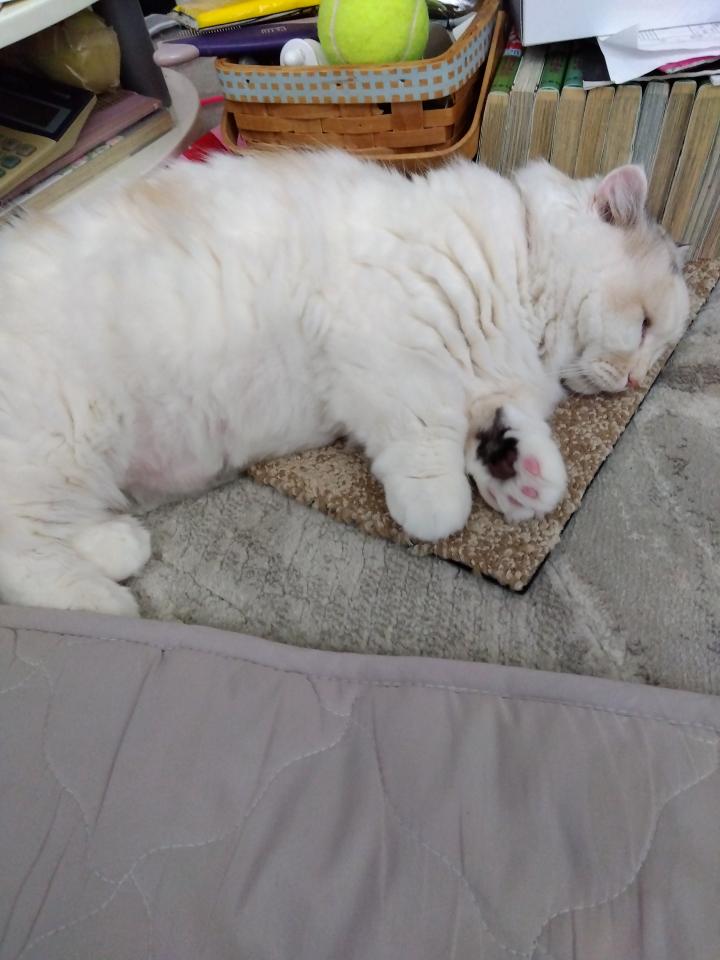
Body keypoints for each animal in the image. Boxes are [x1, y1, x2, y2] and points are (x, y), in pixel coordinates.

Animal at [0, 150, 689, 616]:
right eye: (644, 325)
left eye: (656, 347)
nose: (635, 382)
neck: (516, 273)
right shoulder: (394, 351)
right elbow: (432, 456)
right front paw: (439, 509)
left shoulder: (484, 383)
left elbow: (499, 428)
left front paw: (522, 478)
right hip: (65, 437)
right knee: (19, 552)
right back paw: (109, 606)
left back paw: (118, 549)